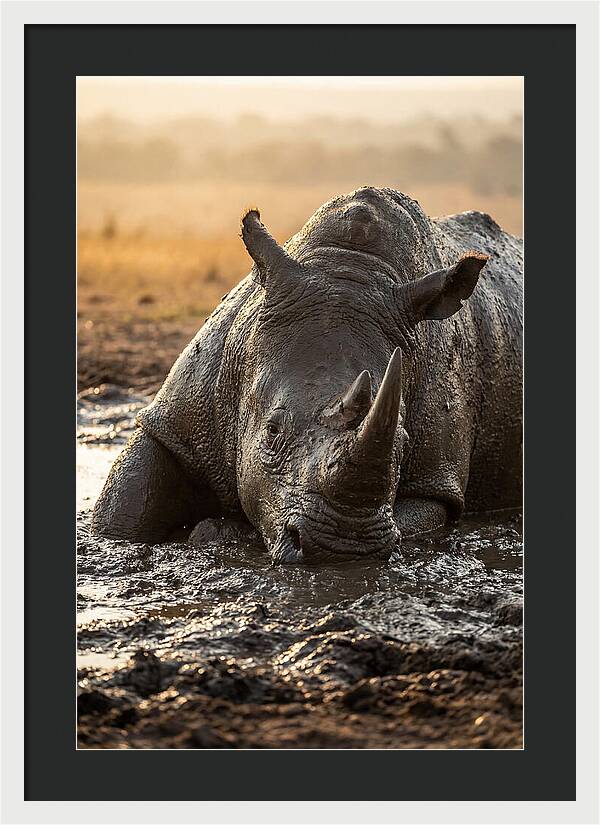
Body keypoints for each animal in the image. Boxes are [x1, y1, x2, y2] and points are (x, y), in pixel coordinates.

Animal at [92, 187, 523, 563]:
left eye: (403, 441)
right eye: (271, 431)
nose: (343, 547)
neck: (349, 267)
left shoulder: (437, 481)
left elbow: (420, 514)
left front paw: (218, 532)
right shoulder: (176, 419)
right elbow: (123, 510)